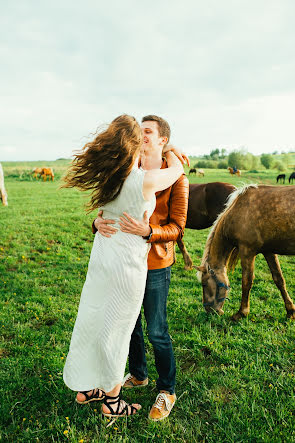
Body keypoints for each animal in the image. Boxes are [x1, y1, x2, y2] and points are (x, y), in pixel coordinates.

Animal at [197, 185, 295, 322]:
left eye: (204, 284)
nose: (209, 310)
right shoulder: (268, 251)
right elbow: (279, 279)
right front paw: (290, 311)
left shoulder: (247, 251)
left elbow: (246, 281)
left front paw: (242, 312)